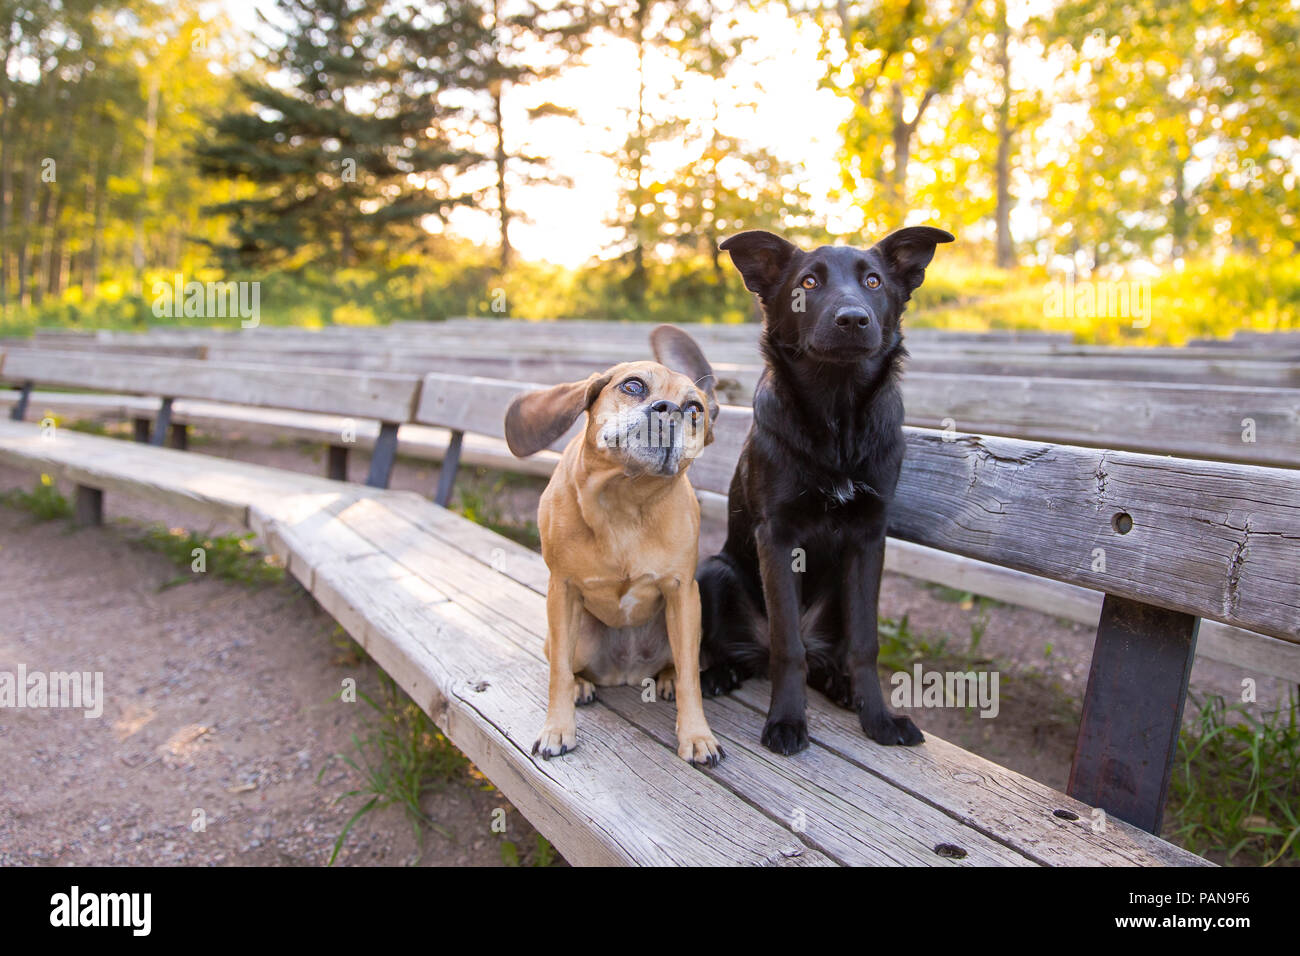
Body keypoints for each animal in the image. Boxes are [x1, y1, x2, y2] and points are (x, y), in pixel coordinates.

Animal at [504, 325, 728, 764]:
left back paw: (666, 678)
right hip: (575, 637)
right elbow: (557, 674)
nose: (667, 409)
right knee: (567, 664)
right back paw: (582, 686)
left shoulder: (683, 594)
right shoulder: (562, 591)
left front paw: (696, 735)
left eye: (694, 408)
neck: (628, 498)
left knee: (680, 664)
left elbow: (692, 678)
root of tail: (625, 673)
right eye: (633, 385)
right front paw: (558, 729)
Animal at [702, 223, 956, 754]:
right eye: (809, 283)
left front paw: (877, 717)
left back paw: (840, 685)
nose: (853, 319)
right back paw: (720, 673)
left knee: (824, 657)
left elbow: (865, 643)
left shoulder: (869, 539)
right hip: (713, 571)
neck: (837, 414)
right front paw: (786, 720)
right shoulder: (777, 538)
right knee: (758, 649)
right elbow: (788, 645)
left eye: (874, 282)